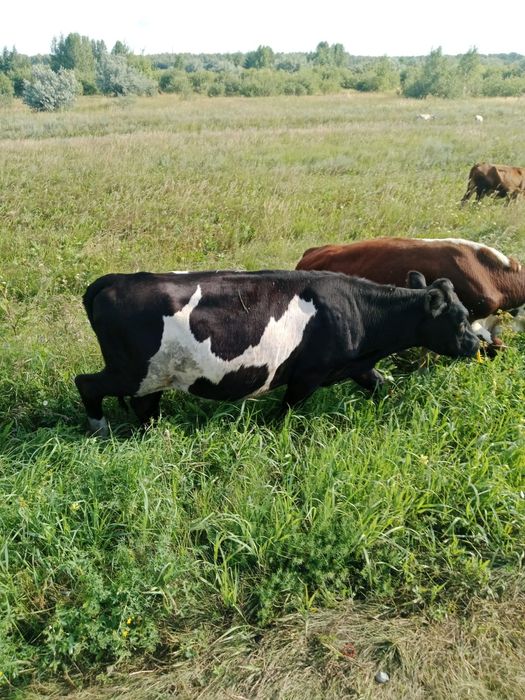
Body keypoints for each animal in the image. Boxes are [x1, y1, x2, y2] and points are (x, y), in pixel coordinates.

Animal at [75, 269, 479, 435]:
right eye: (460, 319)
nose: (478, 344)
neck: (357, 309)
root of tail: (114, 280)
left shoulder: (356, 364)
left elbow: (380, 383)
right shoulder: (308, 375)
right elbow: (285, 411)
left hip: (153, 375)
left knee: (145, 405)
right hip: (130, 371)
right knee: (86, 384)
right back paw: (101, 429)